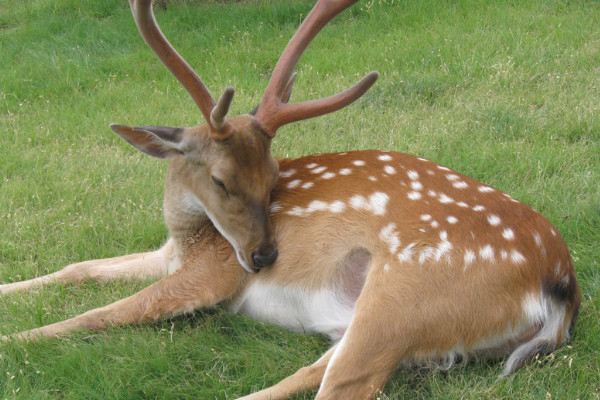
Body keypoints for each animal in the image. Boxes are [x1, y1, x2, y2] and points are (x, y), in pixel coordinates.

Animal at [0, 0, 580, 400]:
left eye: (275, 176)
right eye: (221, 180)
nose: (263, 257)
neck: (189, 235)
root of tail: (561, 286)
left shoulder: (213, 271)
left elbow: (96, 316)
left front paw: (14, 340)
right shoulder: (172, 254)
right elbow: (80, 268)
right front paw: (10, 288)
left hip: (408, 289)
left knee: (345, 384)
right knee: (314, 373)